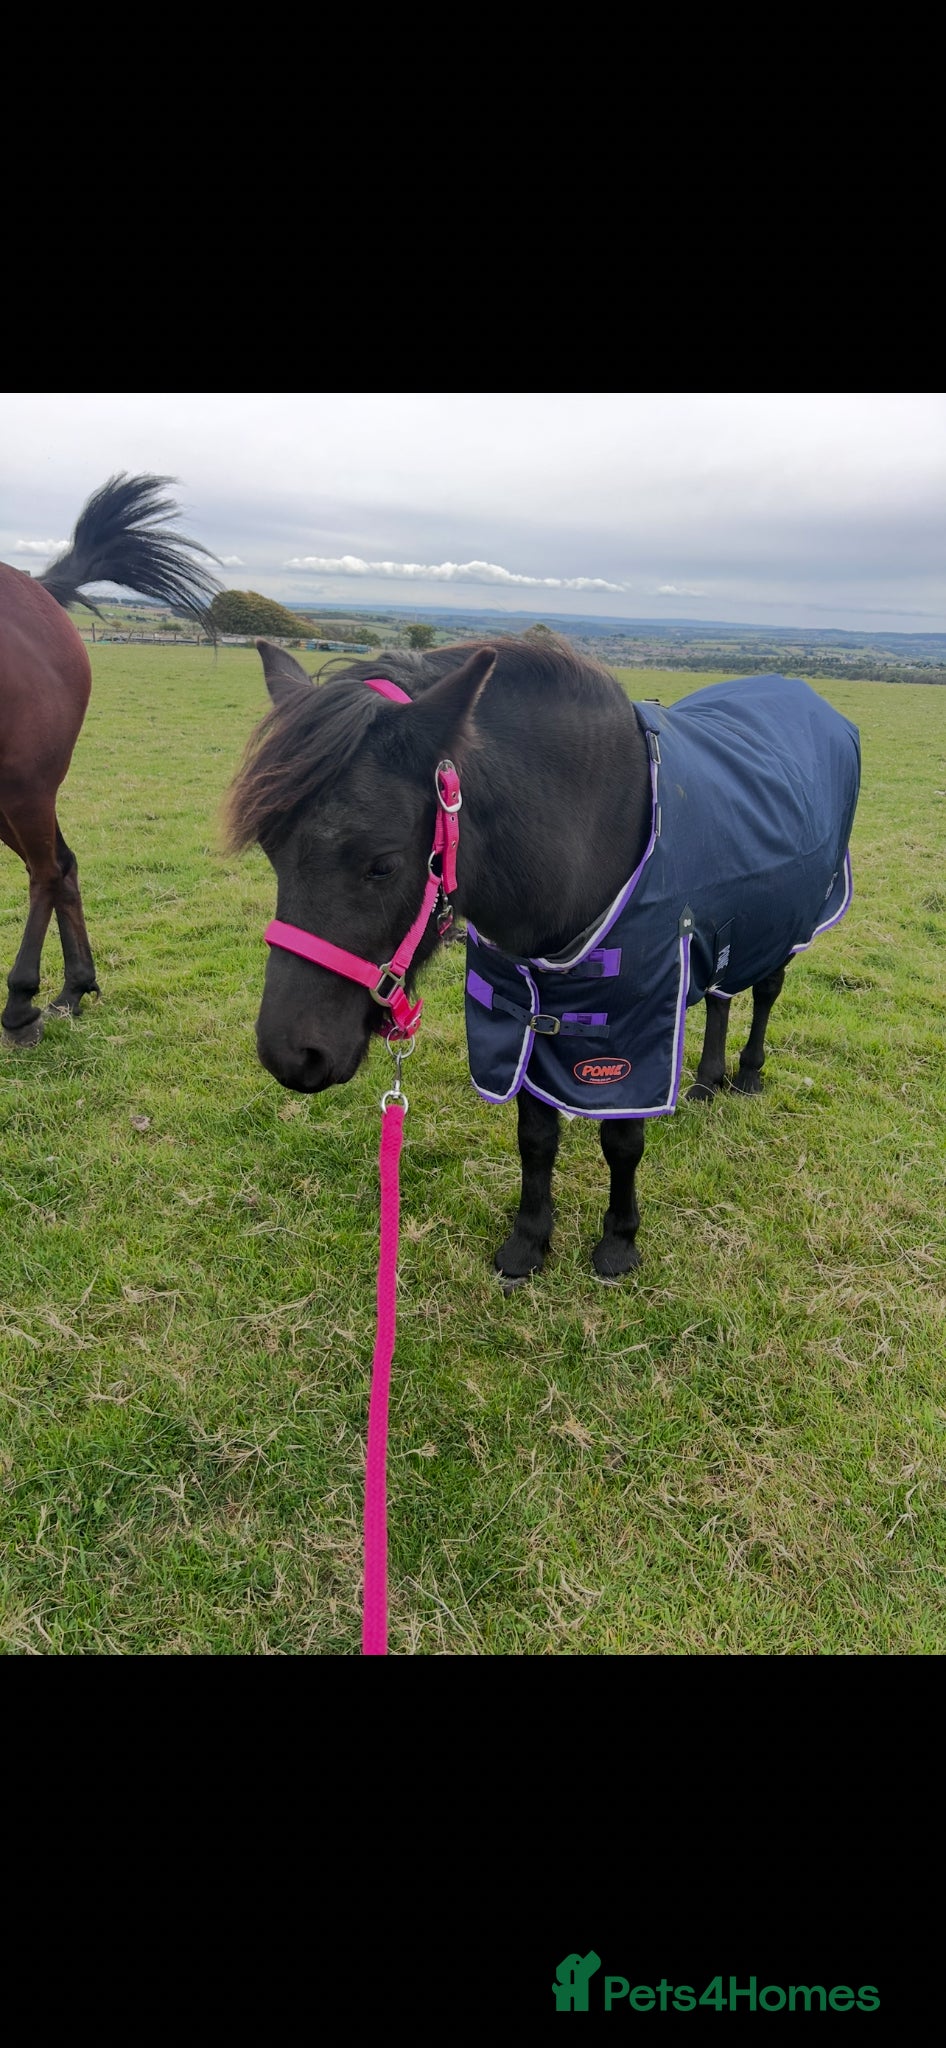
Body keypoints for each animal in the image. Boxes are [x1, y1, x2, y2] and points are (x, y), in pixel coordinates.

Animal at [0, 474, 219, 1046]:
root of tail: (37, 587)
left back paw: (23, 1004)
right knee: (62, 866)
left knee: (47, 872)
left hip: (24, 787)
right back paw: (73, 989)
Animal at [227, 635, 860, 1284]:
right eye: (271, 850)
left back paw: (749, 1074)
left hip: (786, 922)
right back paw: (707, 1081)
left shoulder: (633, 1028)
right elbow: (534, 1136)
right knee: (719, 993)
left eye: (382, 863)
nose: (291, 1055)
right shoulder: (527, 1015)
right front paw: (529, 1242)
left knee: (765, 991)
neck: (585, 837)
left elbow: (622, 1143)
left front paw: (618, 1242)